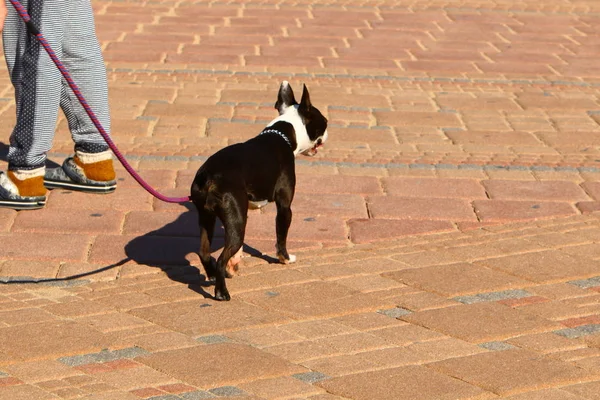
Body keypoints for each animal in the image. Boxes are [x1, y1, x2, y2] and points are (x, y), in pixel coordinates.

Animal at [191, 81, 328, 300]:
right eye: (324, 123)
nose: (328, 133)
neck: (285, 134)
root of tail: (209, 175)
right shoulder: (284, 207)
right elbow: (281, 236)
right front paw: (285, 258)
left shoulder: (243, 211)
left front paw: (235, 264)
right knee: (221, 257)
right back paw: (222, 292)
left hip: (208, 217)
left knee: (204, 251)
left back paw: (212, 275)